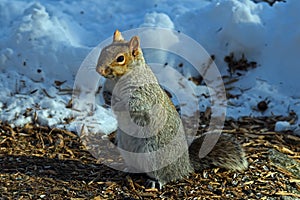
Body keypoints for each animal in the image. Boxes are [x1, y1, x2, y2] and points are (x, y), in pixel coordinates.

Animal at [96, 29, 248, 188]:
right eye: (103, 50)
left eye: (120, 58)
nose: (99, 69)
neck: (118, 80)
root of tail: (185, 165)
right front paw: (108, 102)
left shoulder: (144, 94)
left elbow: (135, 104)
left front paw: (119, 105)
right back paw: (129, 169)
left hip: (155, 155)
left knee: (166, 174)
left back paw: (156, 181)